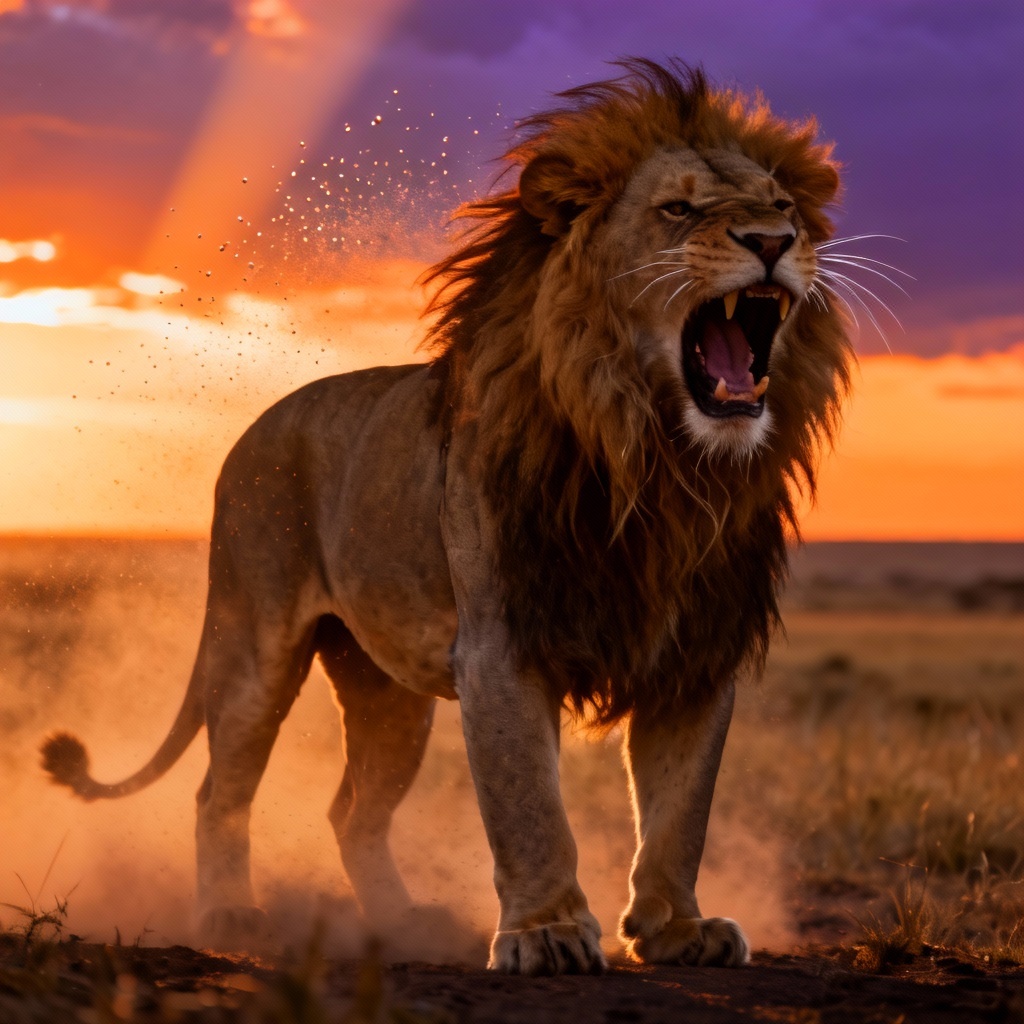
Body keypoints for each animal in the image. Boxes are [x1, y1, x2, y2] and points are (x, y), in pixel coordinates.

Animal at [42, 60, 852, 975]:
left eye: (783, 205)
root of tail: (255, 427)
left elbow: (681, 811)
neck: (659, 464)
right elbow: (529, 807)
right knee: (220, 789)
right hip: (255, 644)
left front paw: (678, 929)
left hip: (388, 690)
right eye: (678, 210)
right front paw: (545, 934)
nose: (773, 241)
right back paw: (230, 917)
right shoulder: (502, 644)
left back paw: (405, 922)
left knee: (351, 811)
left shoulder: (696, 649)